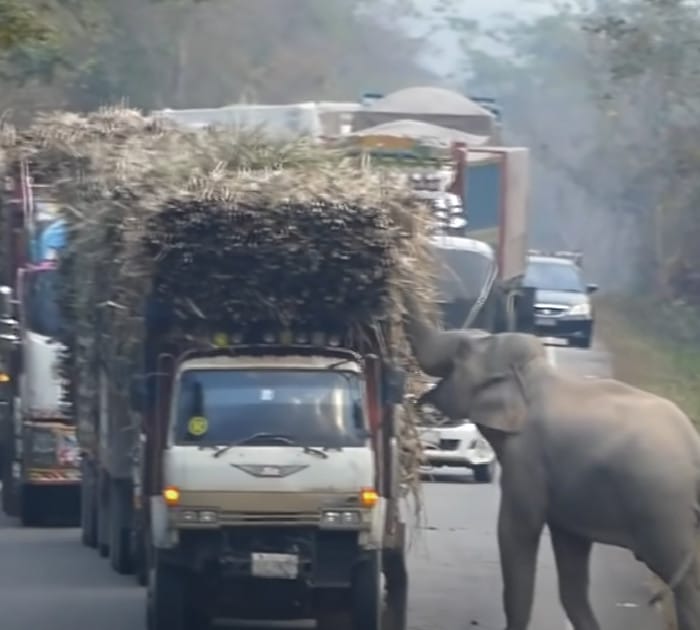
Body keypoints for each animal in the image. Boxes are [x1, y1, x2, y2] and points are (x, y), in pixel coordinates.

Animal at [402, 300, 700, 630]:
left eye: (463, 351)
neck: (534, 373)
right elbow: (570, 555)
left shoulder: (527, 456)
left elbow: (518, 530)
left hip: (663, 506)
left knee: (683, 579)